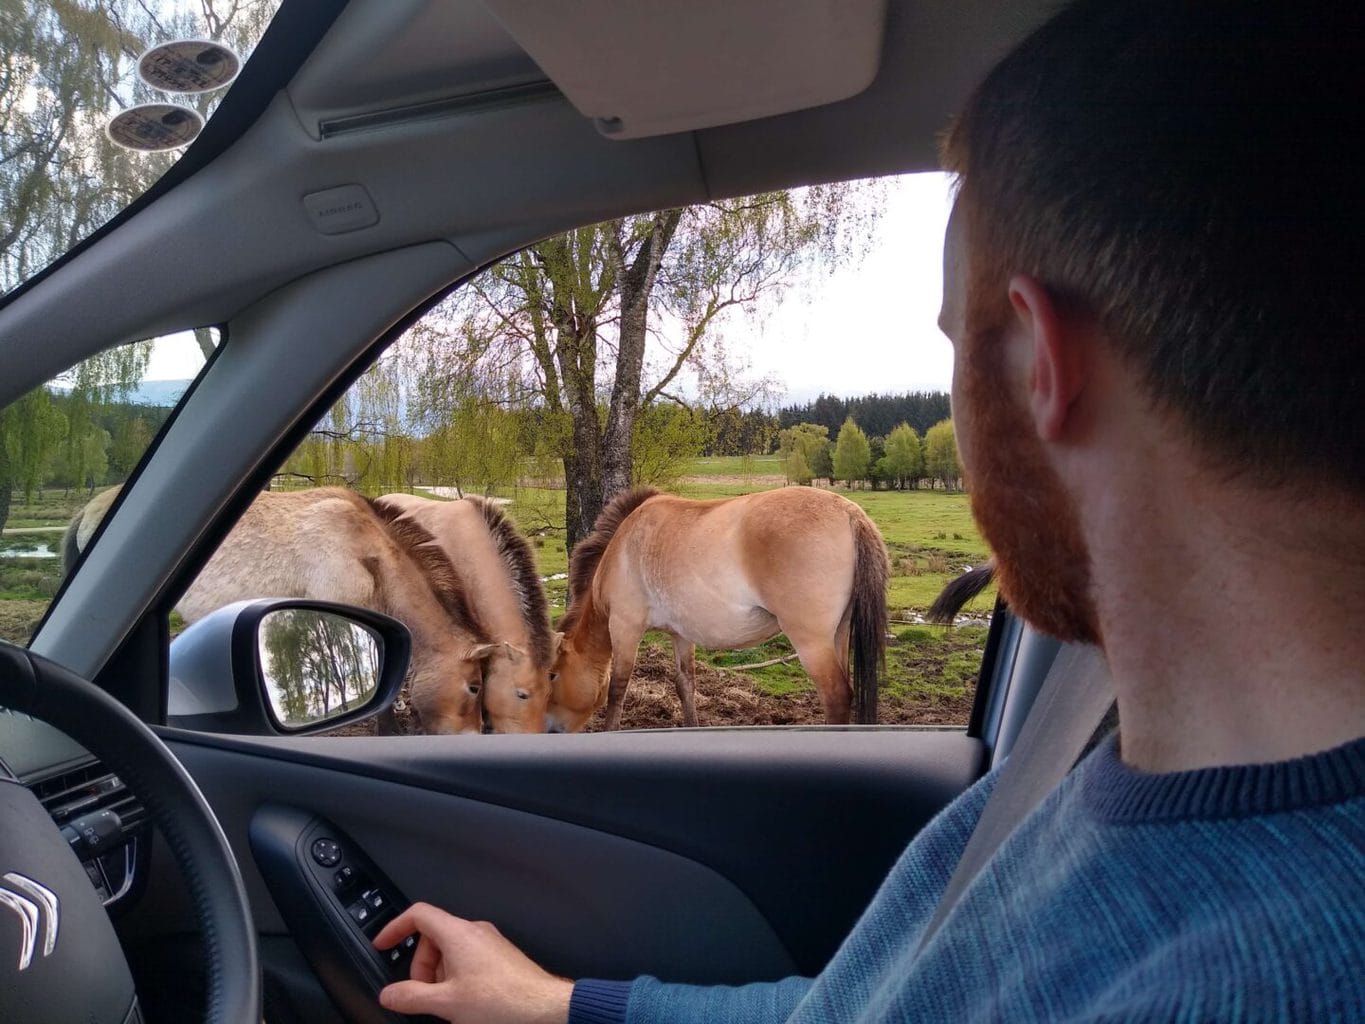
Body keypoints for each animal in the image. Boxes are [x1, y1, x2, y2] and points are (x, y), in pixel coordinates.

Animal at [548, 486, 889, 731]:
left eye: (552, 674)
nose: (550, 728)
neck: (622, 548)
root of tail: (850, 514)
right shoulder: (680, 634)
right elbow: (685, 684)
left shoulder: (625, 626)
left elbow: (618, 689)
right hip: (839, 634)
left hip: (812, 642)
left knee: (835, 696)